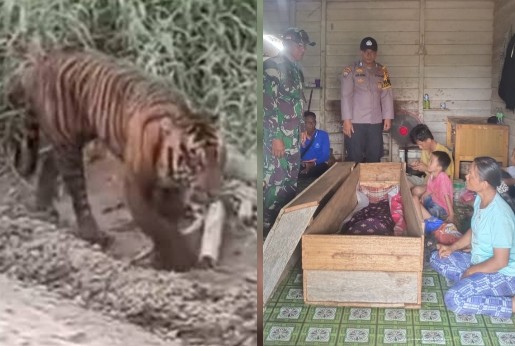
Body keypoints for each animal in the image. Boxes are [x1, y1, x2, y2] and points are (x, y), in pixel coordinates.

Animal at [7, 48, 226, 270]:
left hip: (67, 141)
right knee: (78, 193)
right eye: (196, 161)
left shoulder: (172, 189)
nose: (215, 193)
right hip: (68, 144)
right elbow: (155, 225)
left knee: (49, 161)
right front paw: (180, 259)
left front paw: (164, 258)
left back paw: (44, 206)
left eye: (220, 159)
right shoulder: (135, 185)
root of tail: (44, 61)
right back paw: (93, 234)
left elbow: (169, 219)